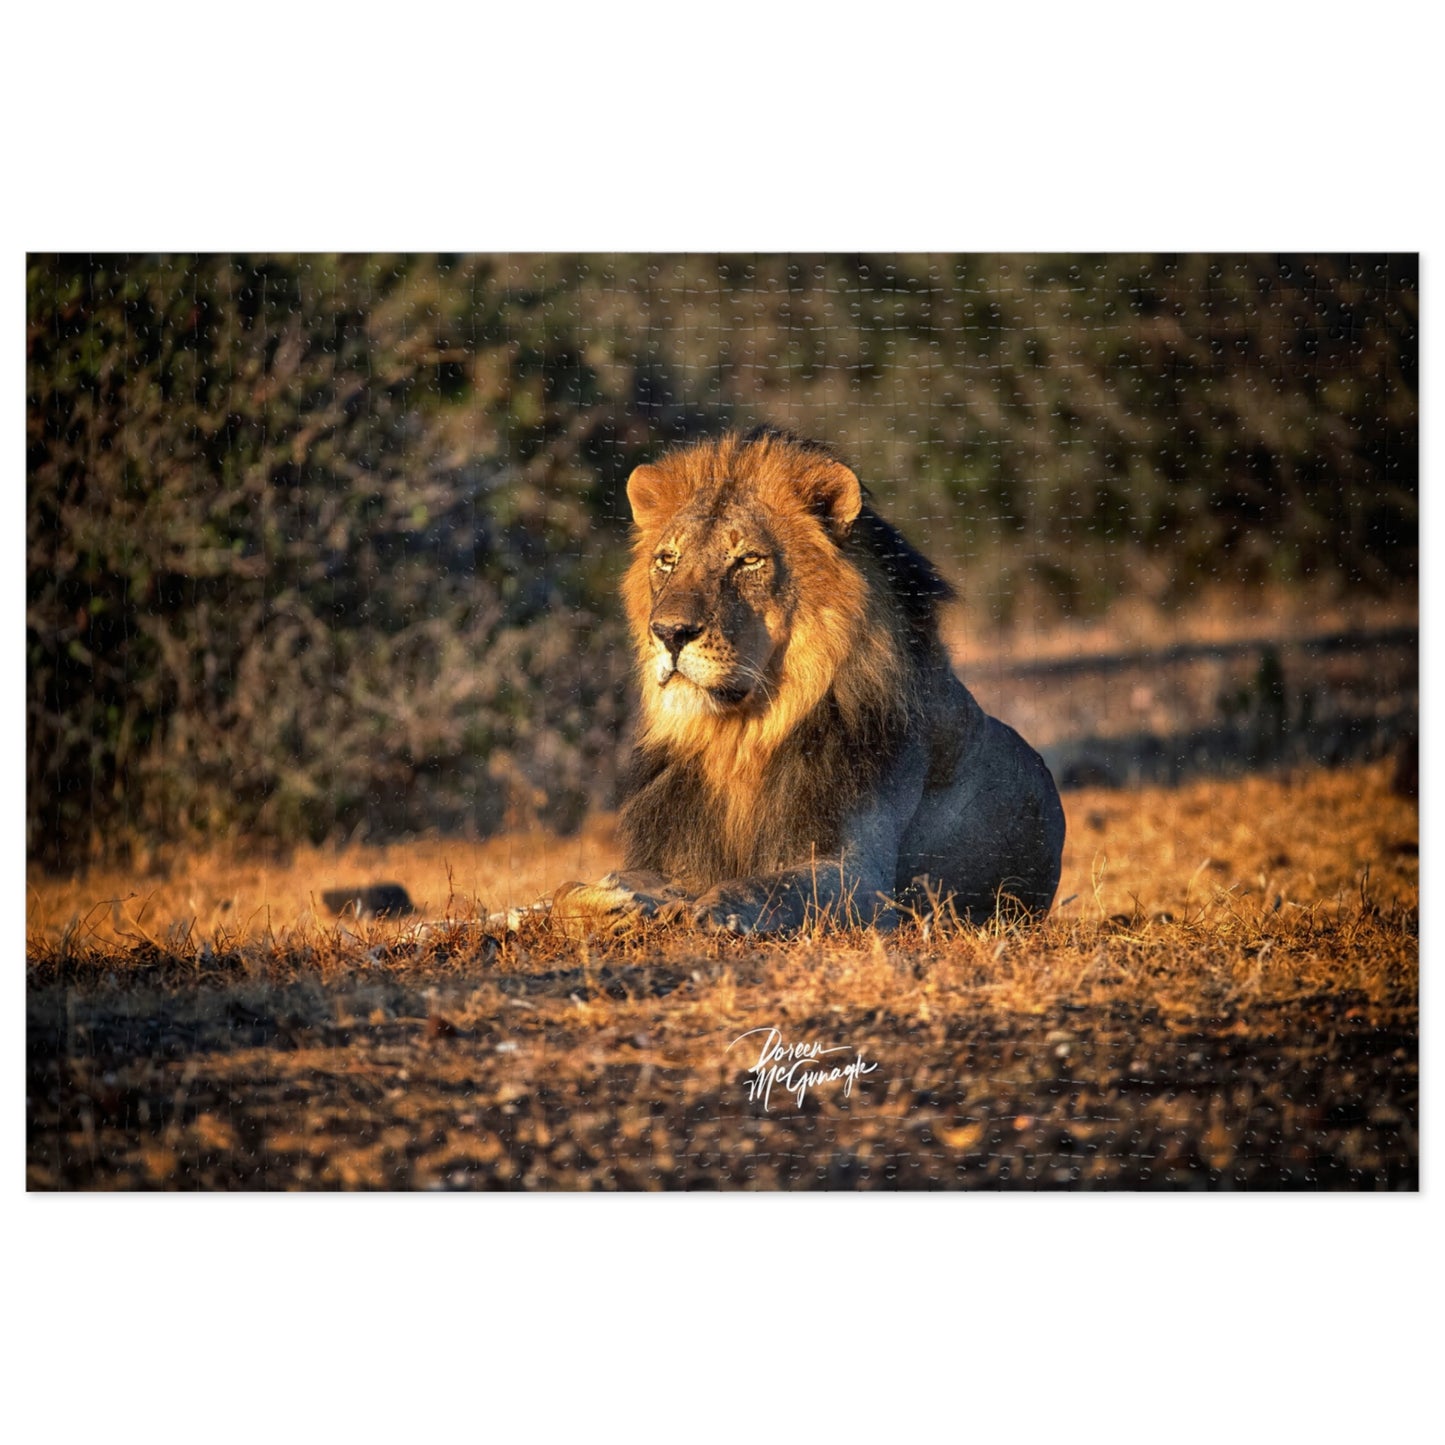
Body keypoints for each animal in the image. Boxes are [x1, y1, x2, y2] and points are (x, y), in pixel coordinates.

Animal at [553, 427, 1065, 934]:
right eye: (667, 559)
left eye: (749, 560)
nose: (669, 632)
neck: (739, 739)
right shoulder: (676, 858)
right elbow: (565, 891)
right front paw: (609, 900)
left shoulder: (863, 878)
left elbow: (769, 886)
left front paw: (713, 910)